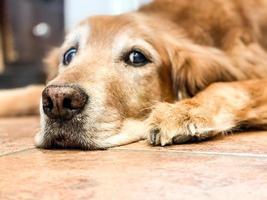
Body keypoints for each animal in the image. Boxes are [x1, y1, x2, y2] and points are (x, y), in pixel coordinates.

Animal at [1, 0, 267, 149]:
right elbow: (25, 93)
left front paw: (183, 111)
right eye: (69, 54)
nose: (57, 100)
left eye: (136, 57)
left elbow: (230, 86)